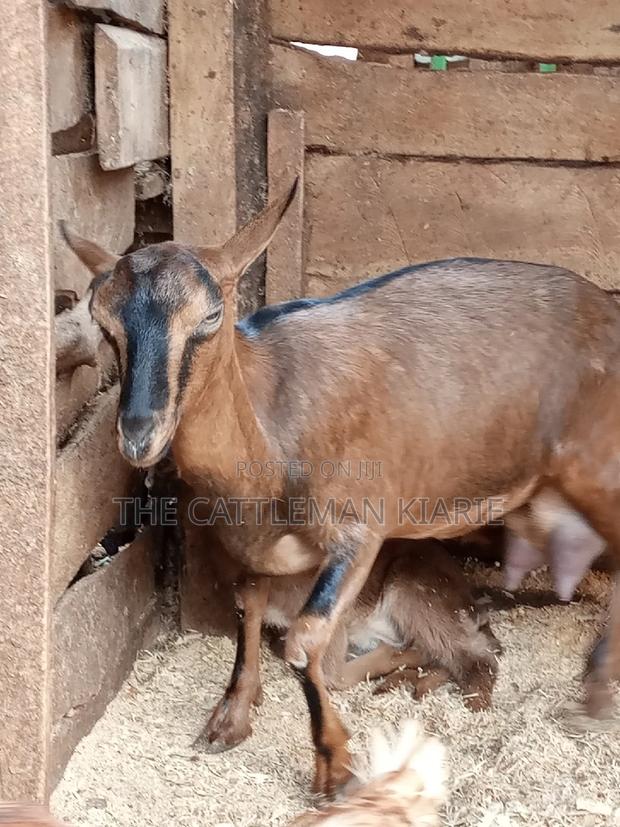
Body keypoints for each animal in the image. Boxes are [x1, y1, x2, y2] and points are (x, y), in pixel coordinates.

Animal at [200, 539, 500, 754]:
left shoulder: (329, 621)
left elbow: (331, 674)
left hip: (415, 592)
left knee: (477, 656)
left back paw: (474, 703)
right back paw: (403, 682)